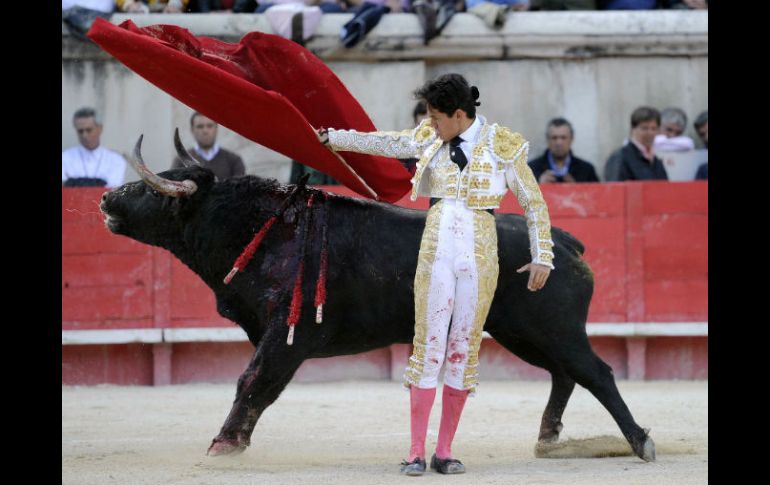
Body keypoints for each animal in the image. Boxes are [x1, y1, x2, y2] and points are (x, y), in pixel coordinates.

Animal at [97, 133, 656, 462]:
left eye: (149, 189)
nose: (104, 198)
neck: (261, 228)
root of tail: (560, 242)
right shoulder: (275, 336)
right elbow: (261, 386)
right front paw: (236, 439)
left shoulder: (288, 335)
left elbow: (252, 381)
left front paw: (224, 442)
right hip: (522, 333)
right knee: (566, 374)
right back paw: (547, 436)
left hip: (551, 328)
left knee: (596, 372)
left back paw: (640, 442)